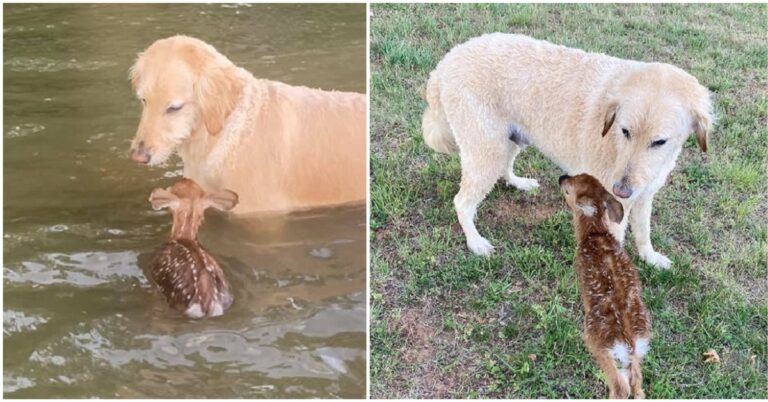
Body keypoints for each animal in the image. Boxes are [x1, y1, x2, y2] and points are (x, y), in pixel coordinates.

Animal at [424, 33, 712, 266]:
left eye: (659, 142)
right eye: (625, 131)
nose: (621, 190)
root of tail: (447, 60)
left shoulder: (643, 196)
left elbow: (643, 232)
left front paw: (650, 257)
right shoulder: (613, 210)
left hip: (509, 140)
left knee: (504, 169)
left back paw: (518, 182)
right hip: (487, 150)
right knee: (462, 202)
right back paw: (475, 242)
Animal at [560, 174, 652, 398]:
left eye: (568, 190)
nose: (561, 177)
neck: (595, 233)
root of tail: (629, 343)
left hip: (597, 342)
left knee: (620, 386)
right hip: (635, 357)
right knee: (637, 384)